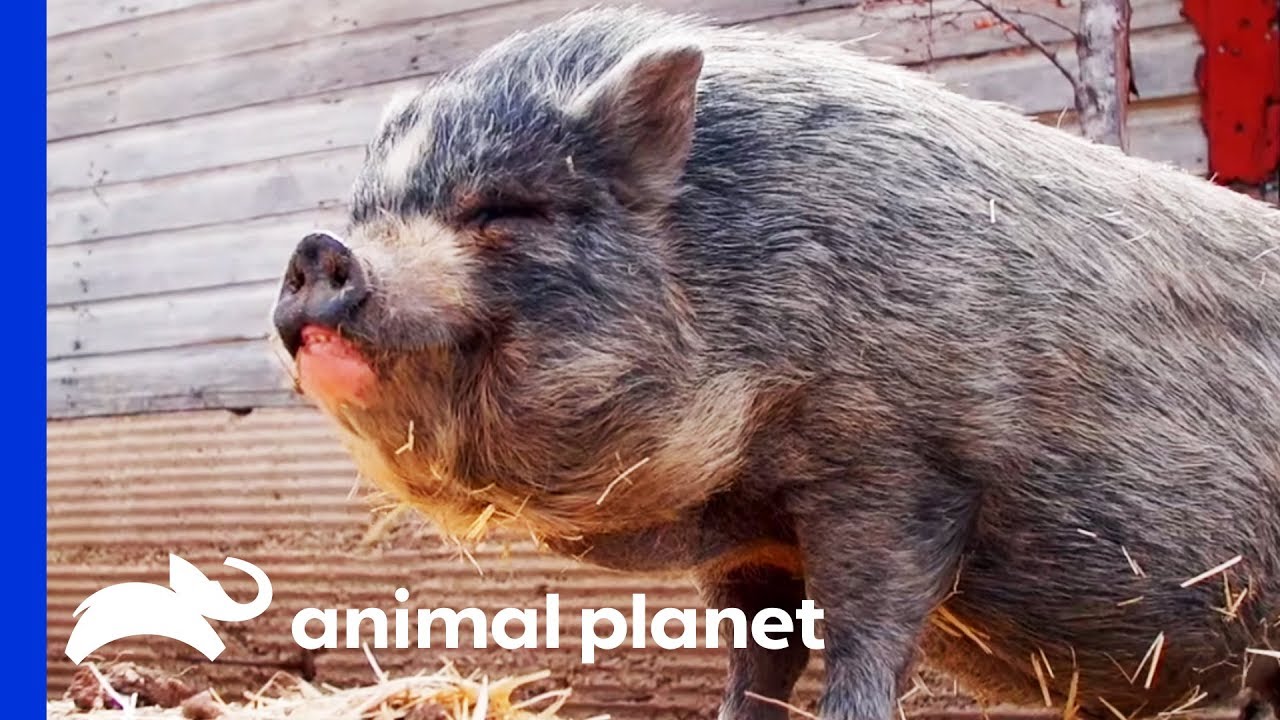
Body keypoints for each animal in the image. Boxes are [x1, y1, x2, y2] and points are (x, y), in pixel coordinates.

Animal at [269, 7, 1280, 720]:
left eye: (505, 210)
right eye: (368, 211)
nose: (320, 248)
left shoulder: (900, 471)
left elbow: (866, 645)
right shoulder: (753, 540)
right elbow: (757, 664)